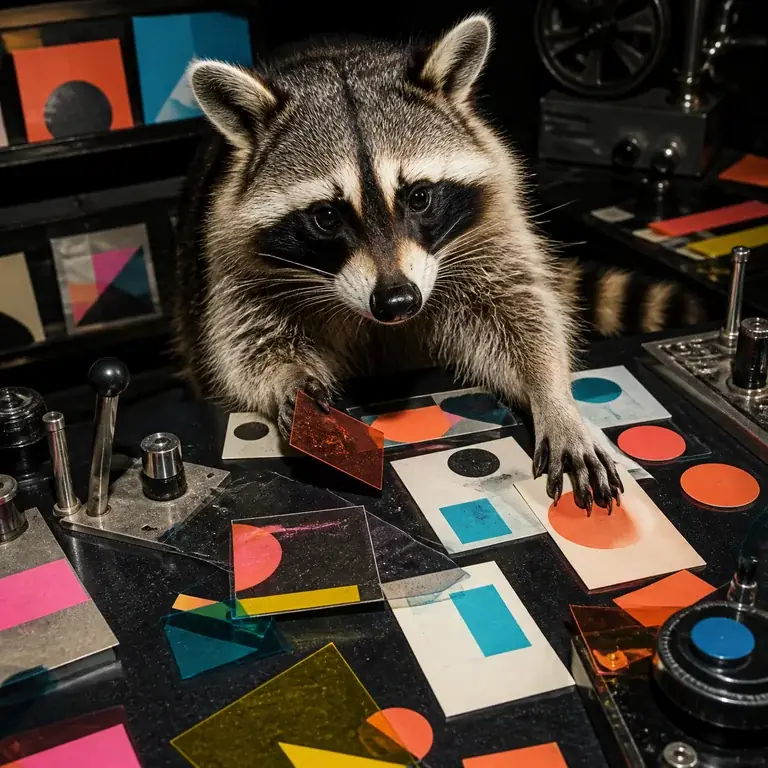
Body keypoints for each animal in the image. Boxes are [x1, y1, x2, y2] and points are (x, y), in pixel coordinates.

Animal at [173, 14, 703, 512]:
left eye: (420, 197)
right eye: (326, 217)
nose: (396, 301)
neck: (335, 60)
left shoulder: (489, 227)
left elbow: (521, 309)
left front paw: (553, 395)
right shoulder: (234, 263)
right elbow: (246, 340)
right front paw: (286, 378)